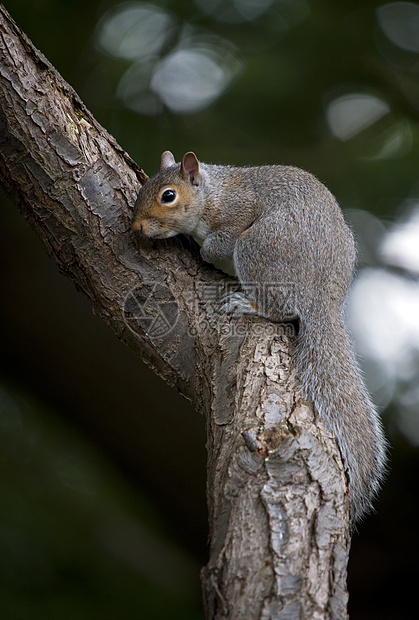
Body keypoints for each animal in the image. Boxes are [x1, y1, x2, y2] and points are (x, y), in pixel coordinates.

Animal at [133, 150, 388, 524]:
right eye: (143, 189)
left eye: (169, 196)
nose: (136, 227)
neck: (213, 193)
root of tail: (324, 299)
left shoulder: (236, 214)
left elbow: (217, 244)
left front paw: (200, 248)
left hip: (259, 247)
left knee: (283, 309)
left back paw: (249, 303)